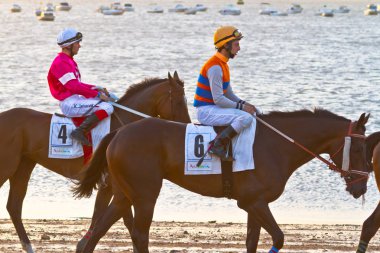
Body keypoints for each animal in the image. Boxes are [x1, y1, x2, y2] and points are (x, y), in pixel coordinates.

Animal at [0, 71, 191, 253]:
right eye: (179, 101)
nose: (187, 126)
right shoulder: (110, 183)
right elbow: (116, 218)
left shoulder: (113, 184)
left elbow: (103, 215)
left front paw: (83, 245)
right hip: (7, 165)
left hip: (24, 165)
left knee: (14, 206)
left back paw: (28, 246)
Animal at [75, 109, 372, 253]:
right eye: (359, 149)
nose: (361, 188)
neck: (277, 144)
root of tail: (119, 132)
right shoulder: (254, 202)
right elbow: (278, 237)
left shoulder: (255, 204)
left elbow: (252, 242)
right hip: (146, 195)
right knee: (139, 235)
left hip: (124, 194)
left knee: (96, 231)